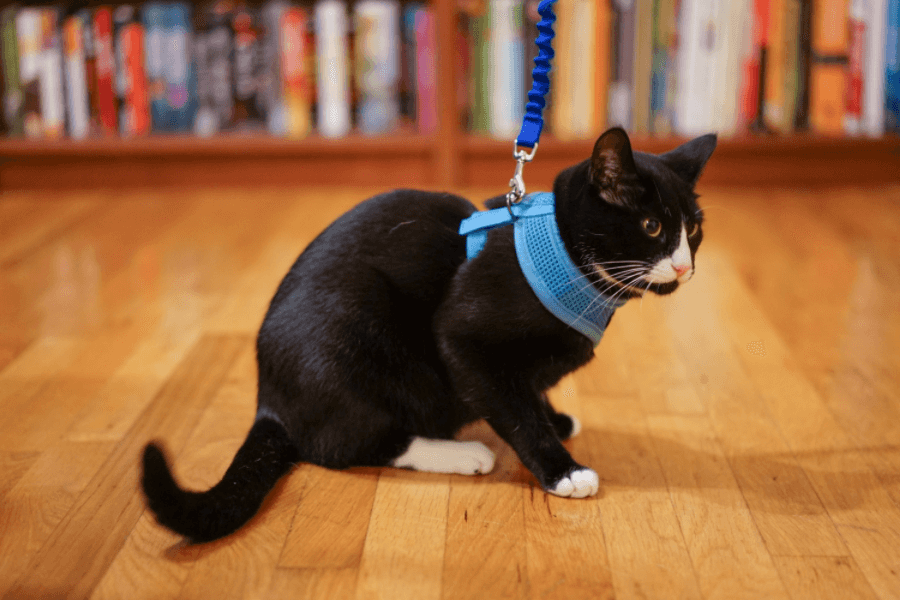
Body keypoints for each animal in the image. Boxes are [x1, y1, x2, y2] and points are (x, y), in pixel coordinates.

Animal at [141, 127, 716, 544]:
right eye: (650, 227)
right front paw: (562, 470)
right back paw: (460, 453)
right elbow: (514, 410)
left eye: (693, 229)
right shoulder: (464, 337)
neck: (571, 263)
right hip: (356, 335)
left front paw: (555, 417)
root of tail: (269, 400)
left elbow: (529, 390)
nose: (685, 267)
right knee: (346, 444)